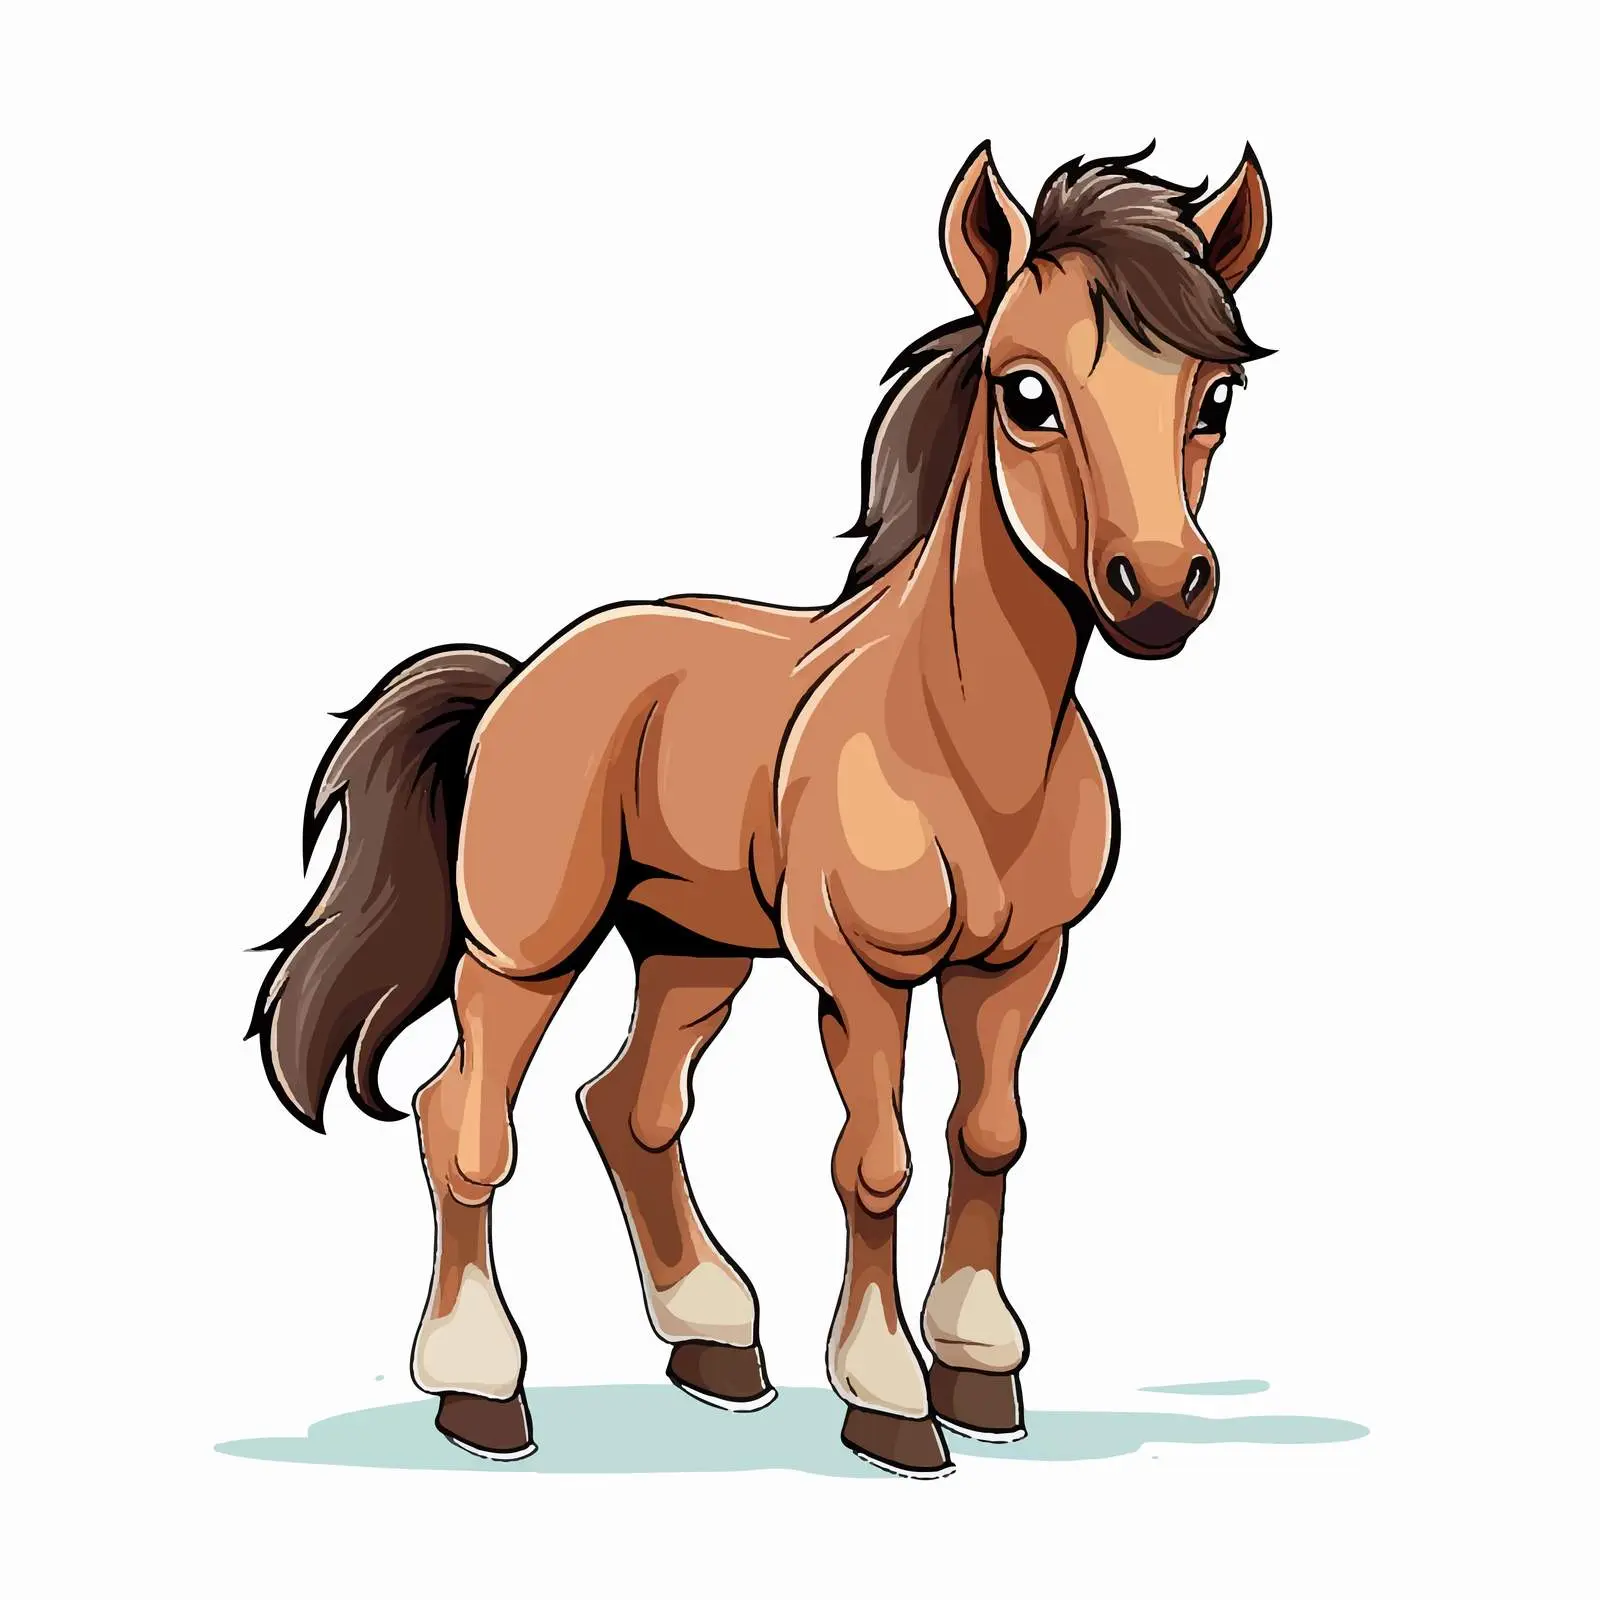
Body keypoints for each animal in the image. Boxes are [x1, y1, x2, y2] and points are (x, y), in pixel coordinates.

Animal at [251, 140, 1272, 1478]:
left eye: (1216, 400)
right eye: (1026, 393)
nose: (1157, 589)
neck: (958, 736)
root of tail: (523, 673)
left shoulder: (1019, 967)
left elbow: (986, 1138)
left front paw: (979, 1369)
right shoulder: (863, 974)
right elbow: (875, 1162)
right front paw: (888, 1398)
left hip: (693, 949)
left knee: (627, 1107)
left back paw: (716, 1341)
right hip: (526, 950)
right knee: (463, 1118)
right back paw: (480, 1385)